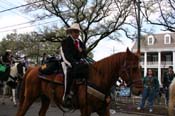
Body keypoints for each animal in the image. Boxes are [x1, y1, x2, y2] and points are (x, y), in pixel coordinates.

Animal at [15, 47, 143, 115]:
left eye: (140, 68)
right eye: (132, 68)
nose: (139, 90)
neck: (98, 78)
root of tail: (32, 69)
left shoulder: (103, 110)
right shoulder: (86, 110)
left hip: (45, 98)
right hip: (29, 97)